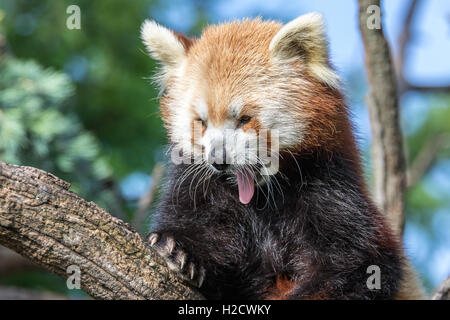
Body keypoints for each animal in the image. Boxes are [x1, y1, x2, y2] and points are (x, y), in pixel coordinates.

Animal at [139, 13, 424, 300]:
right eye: (202, 122)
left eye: (244, 119)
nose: (219, 161)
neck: (262, 199)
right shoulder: (200, 187)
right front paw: (174, 248)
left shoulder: (333, 190)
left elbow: (356, 266)